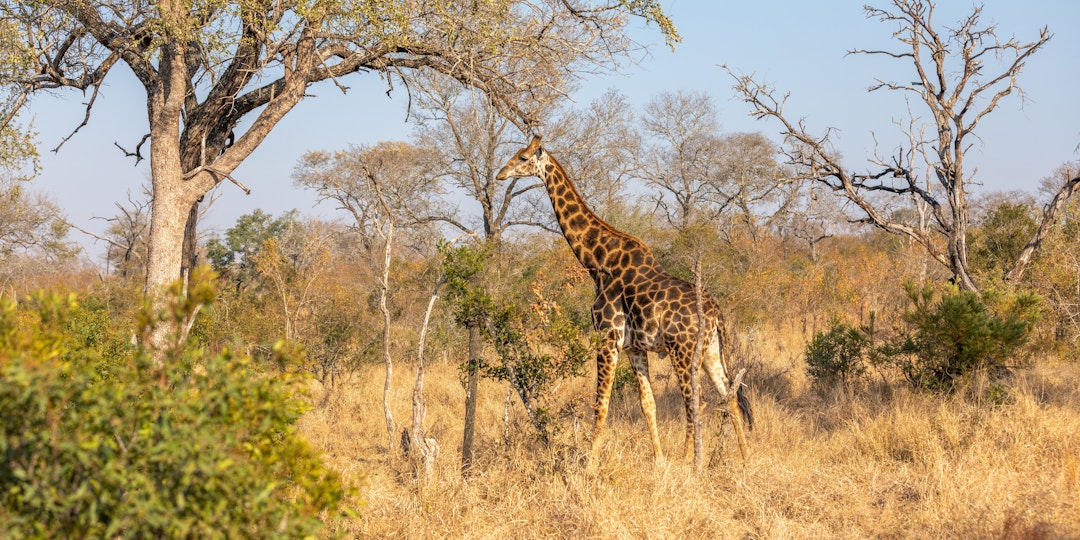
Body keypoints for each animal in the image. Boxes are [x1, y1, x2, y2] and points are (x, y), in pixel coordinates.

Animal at [494, 135, 751, 464]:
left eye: (523, 157)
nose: (500, 174)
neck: (597, 261)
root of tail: (716, 313)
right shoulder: (633, 347)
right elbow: (647, 404)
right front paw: (659, 461)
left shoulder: (607, 338)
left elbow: (600, 405)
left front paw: (590, 464)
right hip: (710, 351)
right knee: (727, 397)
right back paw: (745, 458)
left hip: (682, 350)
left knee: (697, 402)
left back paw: (690, 462)